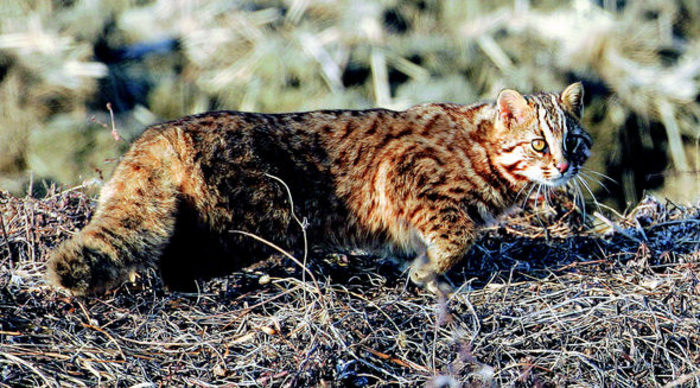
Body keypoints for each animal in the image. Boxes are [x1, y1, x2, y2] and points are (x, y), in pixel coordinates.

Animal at [45, 82, 592, 294]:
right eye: (539, 143)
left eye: (573, 139)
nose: (565, 163)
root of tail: (164, 133)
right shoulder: (404, 173)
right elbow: (456, 236)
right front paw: (429, 273)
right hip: (254, 225)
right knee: (176, 264)